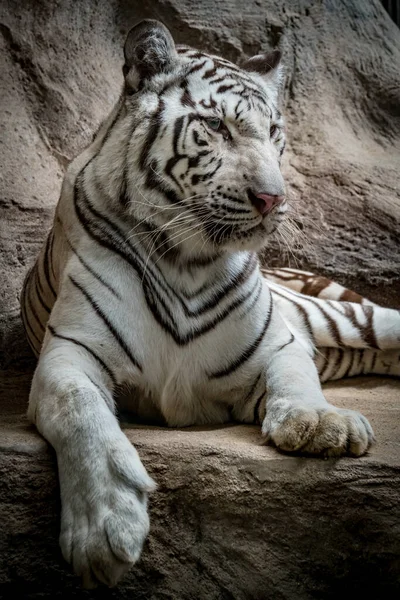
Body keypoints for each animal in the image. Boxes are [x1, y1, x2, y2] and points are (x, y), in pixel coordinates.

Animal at [19, 21, 400, 588]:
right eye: (217, 127)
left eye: (275, 134)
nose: (274, 199)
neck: (188, 261)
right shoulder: (67, 354)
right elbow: (79, 409)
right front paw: (104, 527)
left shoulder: (277, 344)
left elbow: (296, 377)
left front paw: (320, 422)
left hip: (352, 317)